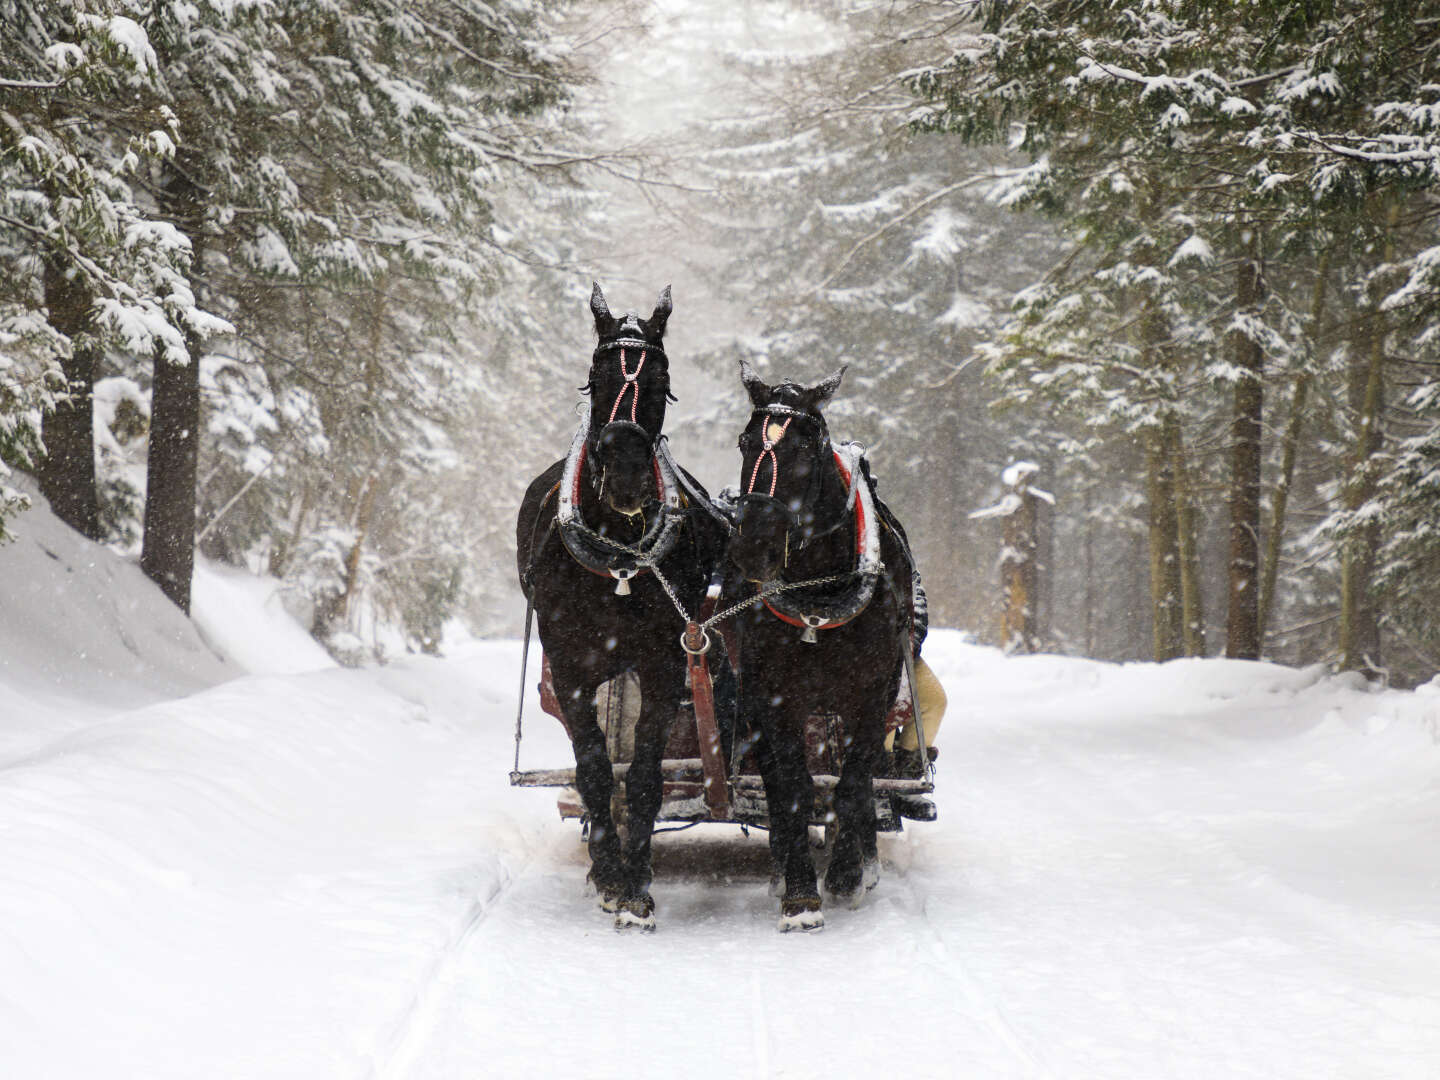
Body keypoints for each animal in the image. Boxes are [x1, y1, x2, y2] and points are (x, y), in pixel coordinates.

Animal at [518, 283, 725, 933]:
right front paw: (609, 874)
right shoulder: (572, 668)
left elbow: (642, 774)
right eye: (597, 374)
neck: (621, 555)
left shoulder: (663, 665)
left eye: (662, 377)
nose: (629, 473)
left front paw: (635, 882)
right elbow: (592, 767)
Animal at [725, 360, 915, 933]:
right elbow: (791, 788)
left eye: (805, 451)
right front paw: (800, 896)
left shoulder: (871, 696)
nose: (752, 546)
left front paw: (847, 875)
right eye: (745, 442)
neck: (819, 589)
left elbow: (853, 783)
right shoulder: (772, 698)